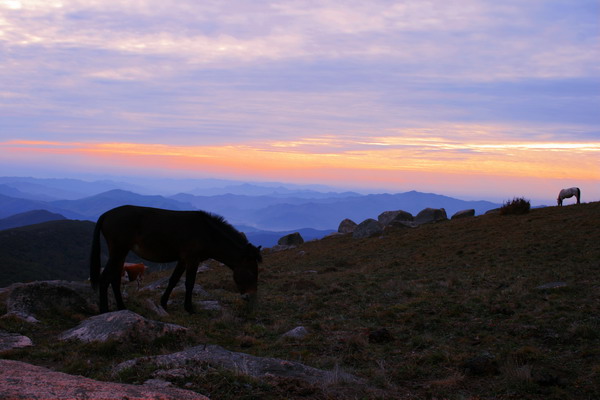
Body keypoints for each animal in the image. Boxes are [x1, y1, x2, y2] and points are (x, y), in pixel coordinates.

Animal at [88, 205, 262, 314]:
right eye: (251, 273)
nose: (251, 297)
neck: (207, 233)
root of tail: (106, 214)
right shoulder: (192, 259)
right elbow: (189, 283)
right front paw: (189, 308)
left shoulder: (183, 260)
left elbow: (173, 280)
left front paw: (164, 303)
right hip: (119, 251)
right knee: (105, 279)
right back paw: (104, 310)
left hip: (120, 253)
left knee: (114, 279)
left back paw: (122, 307)